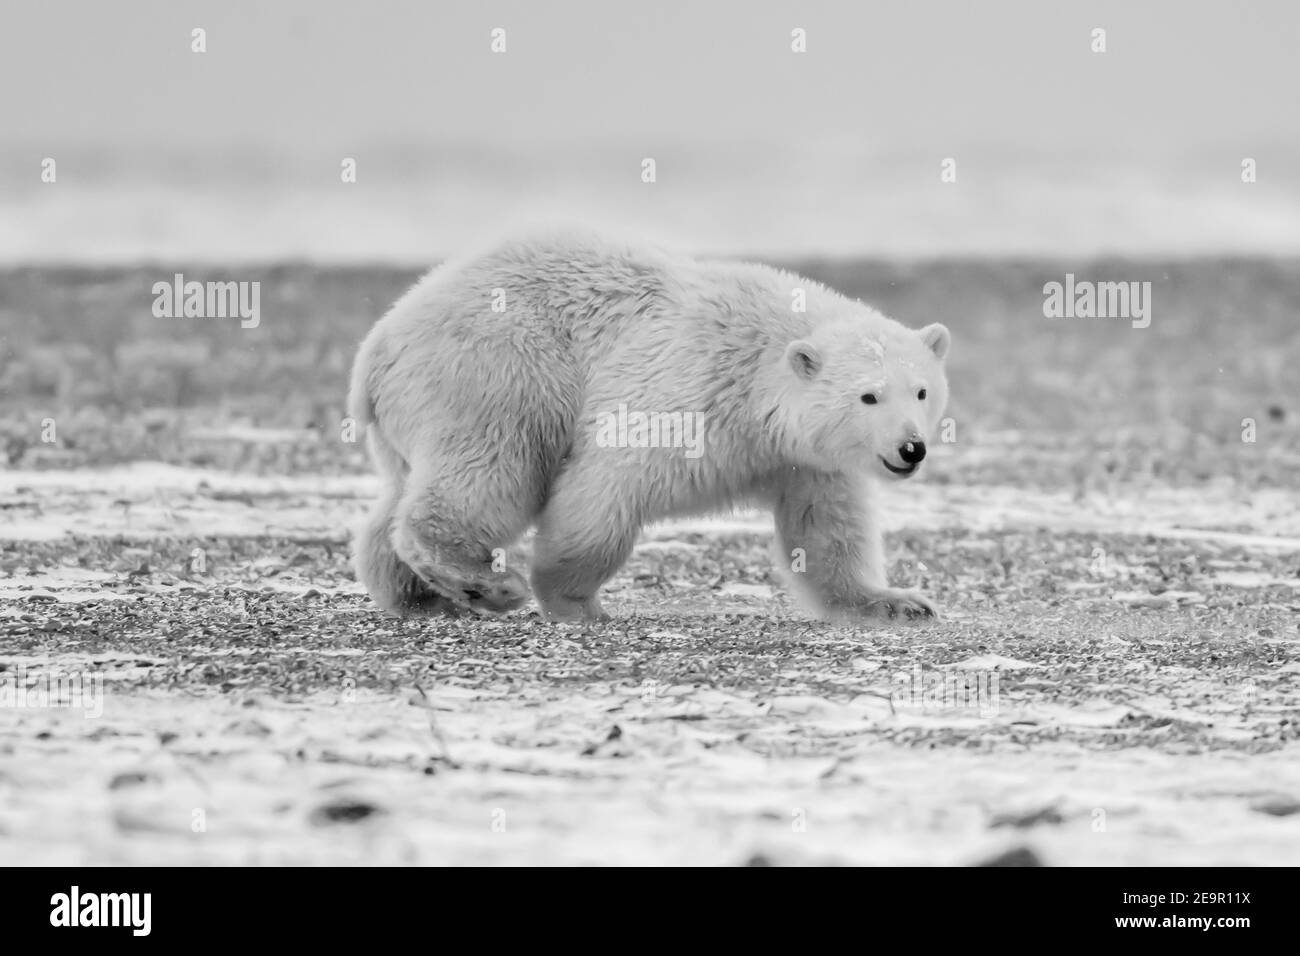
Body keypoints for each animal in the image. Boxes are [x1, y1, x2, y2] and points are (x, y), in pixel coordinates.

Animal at [351, 228, 951, 624]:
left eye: (922, 390)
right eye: (868, 395)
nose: (912, 448)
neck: (757, 371)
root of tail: (379, 341)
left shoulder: (805, 460)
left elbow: (826, 529)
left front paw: (899, 602)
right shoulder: (688, 391)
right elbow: (606, 486)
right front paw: (577, 601)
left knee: (404, 492)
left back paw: (420, 593)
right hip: (504, 365)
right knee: (497, 464)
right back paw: (484, 584)